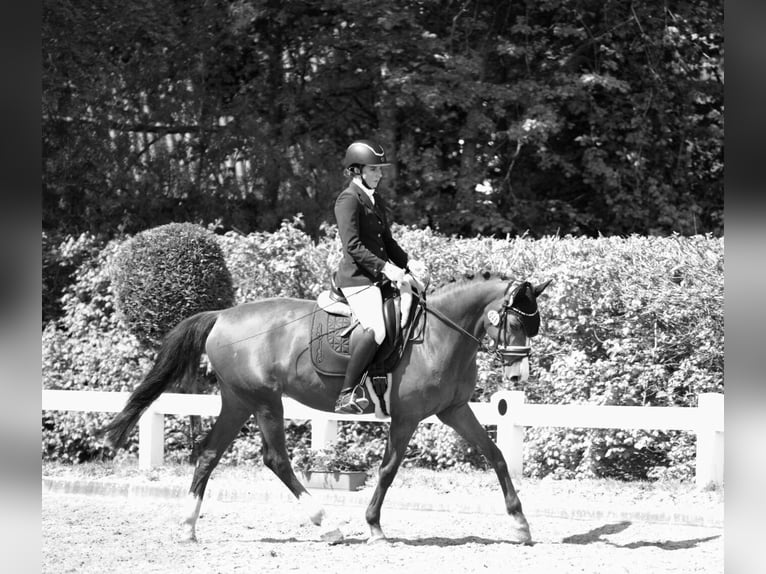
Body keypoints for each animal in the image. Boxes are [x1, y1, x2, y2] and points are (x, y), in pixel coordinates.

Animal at [103, 272, 551, 545]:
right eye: (515, 323)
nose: (519, 377)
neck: (441, 335)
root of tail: (223, 316)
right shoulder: (406, 418)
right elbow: (388, 470)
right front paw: (373, 527)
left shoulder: (454, 410)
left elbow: (496, 455)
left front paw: (520, 524)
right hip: (265, 401)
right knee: (276, 459)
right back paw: (327, 524)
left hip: (238, 400)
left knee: (209, 454)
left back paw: (188, 528)